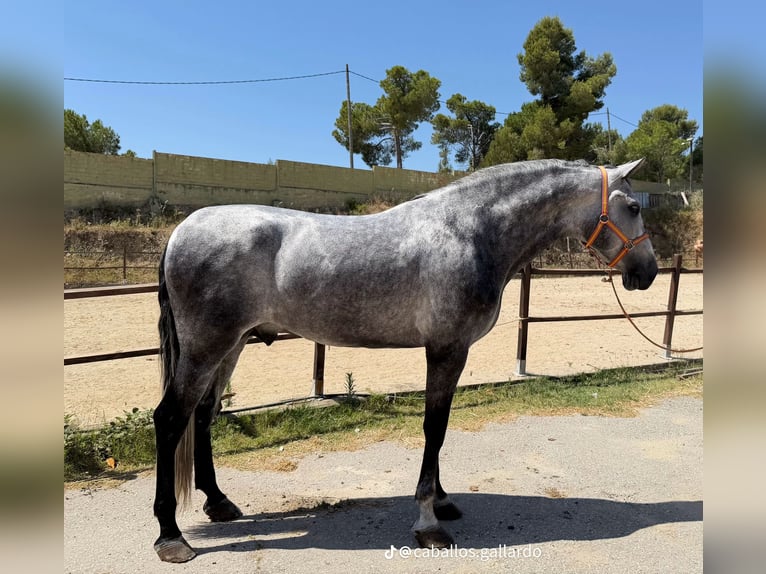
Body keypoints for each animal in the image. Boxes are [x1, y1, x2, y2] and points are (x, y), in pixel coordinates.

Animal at [152, 158, 658, 562]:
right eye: (633, 208)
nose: (648, 272)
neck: (470, 231)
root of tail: (181, 231)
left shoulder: (451, 351)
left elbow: (441, 427)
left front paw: (442, 501)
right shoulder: (446, 349)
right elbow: (435, 427)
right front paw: (429, 523)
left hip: (231, 346)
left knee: (204, 414)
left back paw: (218, 503)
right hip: (206, 348)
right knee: (171, 418)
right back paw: (171, 537)